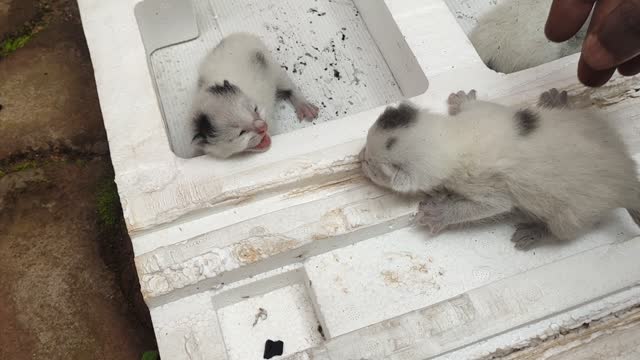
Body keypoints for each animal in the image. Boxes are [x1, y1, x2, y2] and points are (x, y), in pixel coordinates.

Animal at [360, 88, 640, 249]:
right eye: (365, 147)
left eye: (373, 167)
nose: (360, 160)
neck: (456, 137)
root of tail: (627, 177)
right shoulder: (482, 114)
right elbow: (475, 105)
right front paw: (462, 100)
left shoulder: (481, 182)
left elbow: (493, 205)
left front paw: (438, 214)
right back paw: (558, 103)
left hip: (576, 212)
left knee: (565, 230)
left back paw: (536, 232)